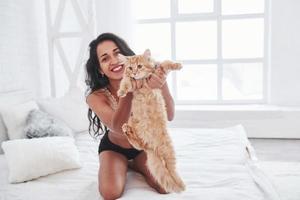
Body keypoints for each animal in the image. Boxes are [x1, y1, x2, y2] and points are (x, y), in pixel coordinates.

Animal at [117, 49, 185, 192]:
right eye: (130, 68)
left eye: (139, 66)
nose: (134, 72)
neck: (142, 81)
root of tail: (152, 147)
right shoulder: (129, 80)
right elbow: (125, 82)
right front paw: (121, 92)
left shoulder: (158, 71)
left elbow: (166, 63)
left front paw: (177, 65)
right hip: (133, 124)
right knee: (137, 143)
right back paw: (126, 129)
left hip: (167, 150)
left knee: (172, 170)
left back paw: (181, 185)